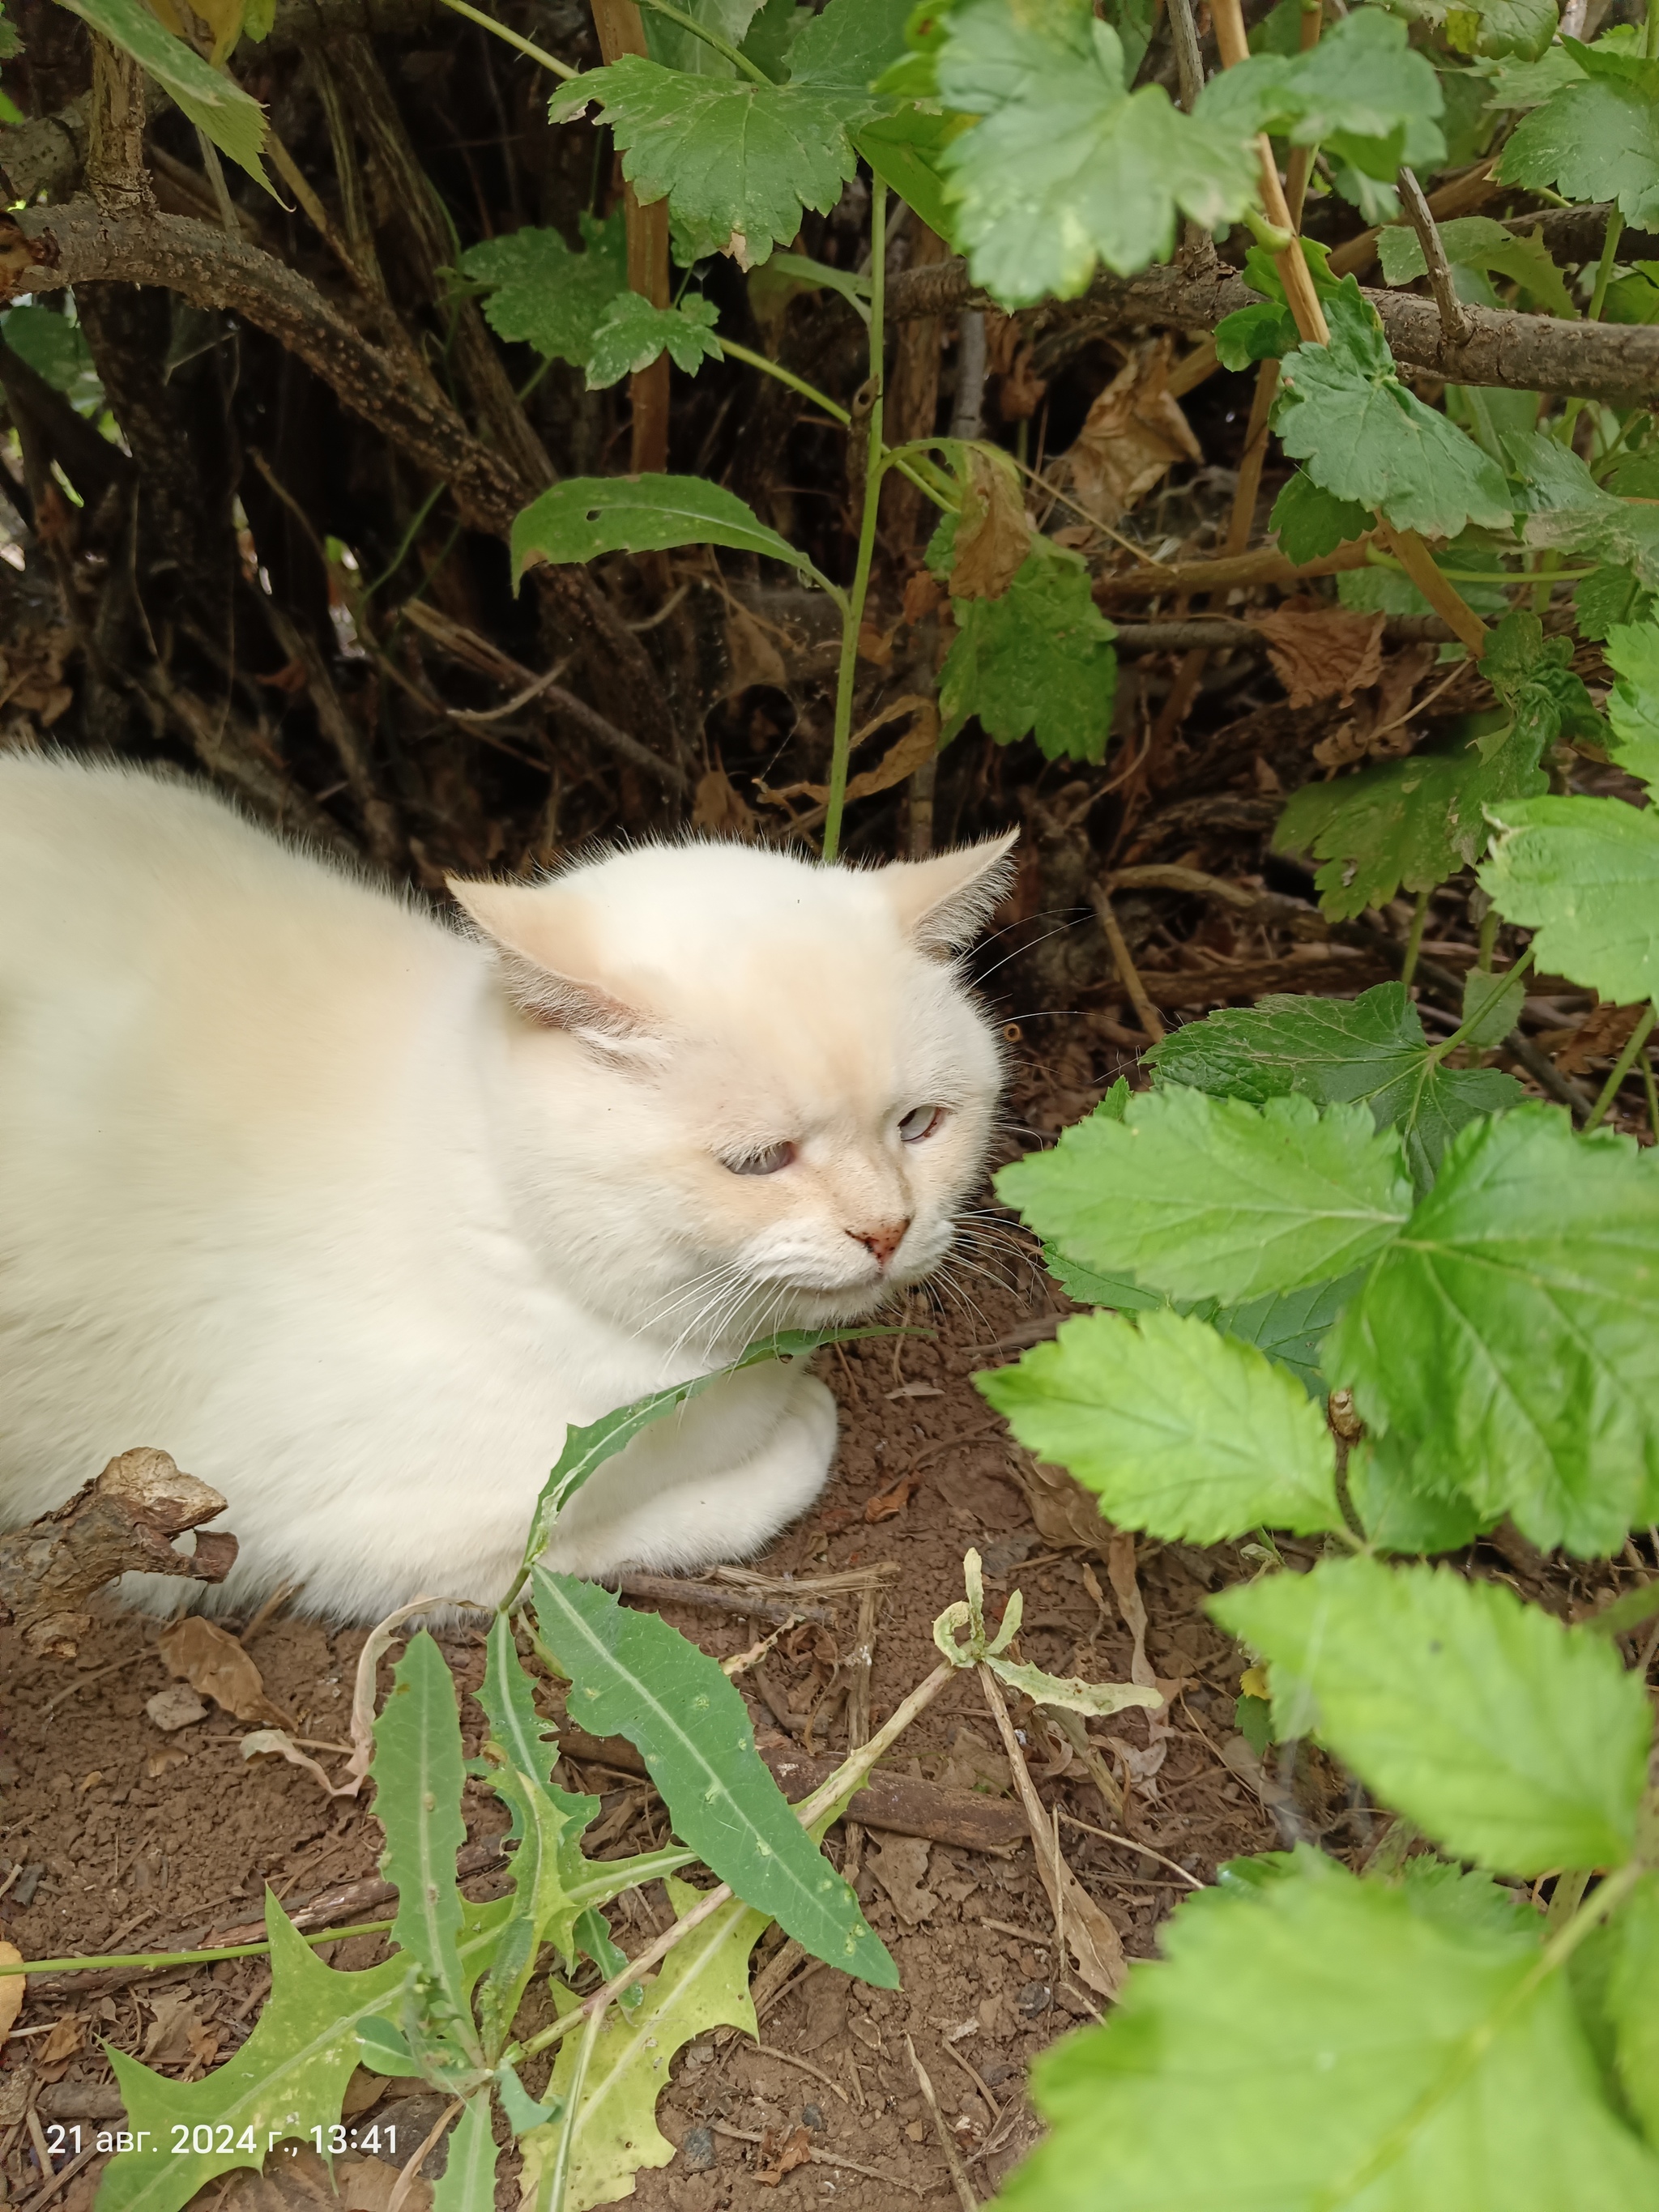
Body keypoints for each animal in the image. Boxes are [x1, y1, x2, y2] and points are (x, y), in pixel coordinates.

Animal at [0, 761, 1013, 1628]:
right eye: (761, 1160)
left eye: (918, 1125)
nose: (886, 1228)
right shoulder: (352, 1543)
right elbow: (674, 1517)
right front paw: (797, 1422)